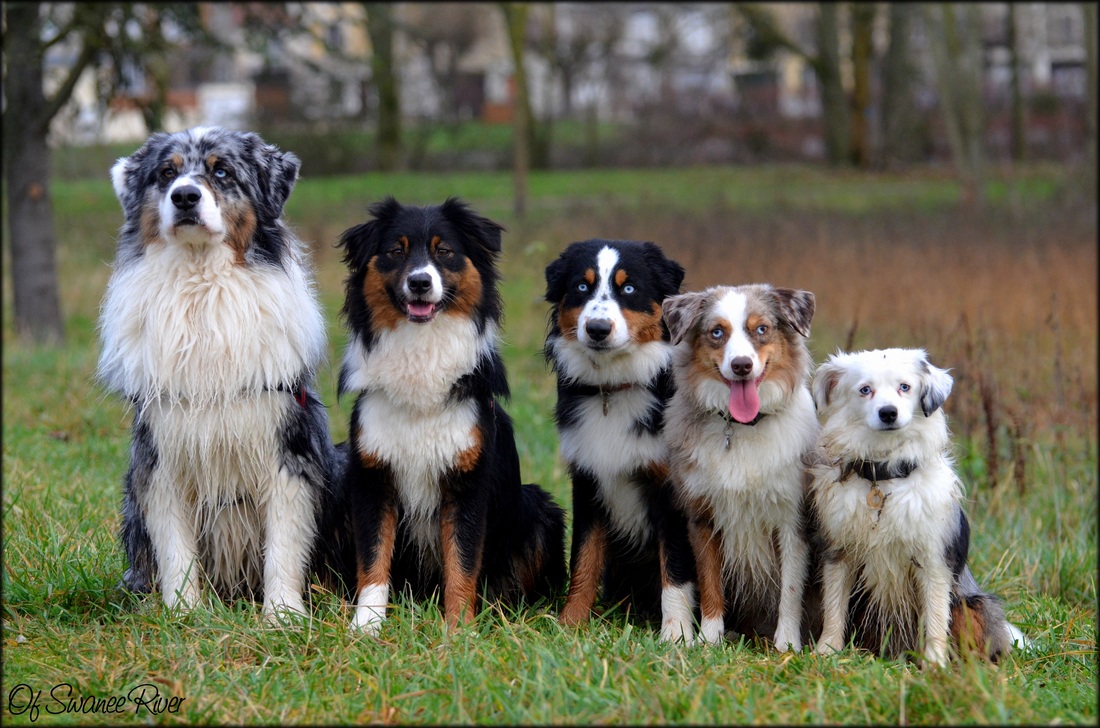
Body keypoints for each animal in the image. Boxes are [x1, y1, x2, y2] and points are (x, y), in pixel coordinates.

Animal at [809, 347, 1012, 668]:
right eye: (865, 389)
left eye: (904, 387)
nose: (888, 412)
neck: (884, 477)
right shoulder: (839, 552)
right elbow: (834, 606)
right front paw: (827, 650)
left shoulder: (933, 560)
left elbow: (935, 616)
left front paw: (934, 664)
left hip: (973, 605)